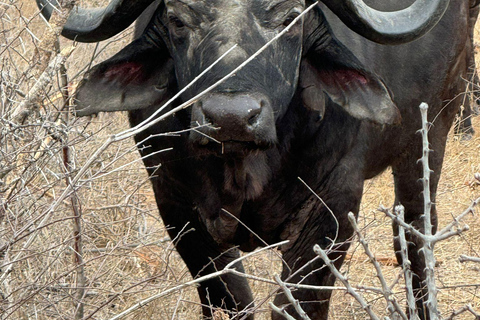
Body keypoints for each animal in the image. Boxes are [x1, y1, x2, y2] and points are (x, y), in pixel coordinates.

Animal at [36, 0, 458, 320]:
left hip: (430, 134)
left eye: (291, 18)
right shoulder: (174, 200)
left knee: (415, 232)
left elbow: (295, 303)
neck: (245, 169)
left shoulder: (335, 204)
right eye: (177, 20)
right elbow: (232, 299)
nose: (231, 117)